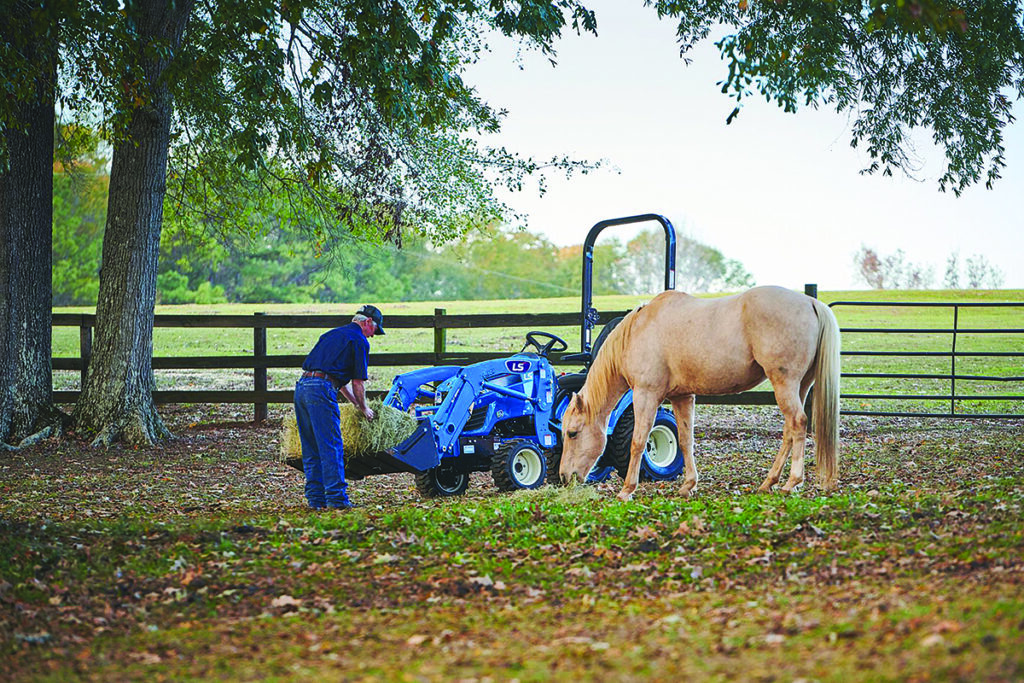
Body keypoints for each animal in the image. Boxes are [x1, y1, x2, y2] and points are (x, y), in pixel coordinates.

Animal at [561, 286, 839, 499]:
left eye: (572, 433)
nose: (564, 477)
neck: (640, 329)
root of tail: (811, 302)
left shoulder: (645, 395)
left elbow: (638, 441)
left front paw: (627, 490)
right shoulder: (682, 396)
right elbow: (686, 440)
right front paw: (688, 485)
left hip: (785, 383)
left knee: (798, 423)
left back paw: (792, 482)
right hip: (800, 386)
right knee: (789, 431)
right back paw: (769, 482)